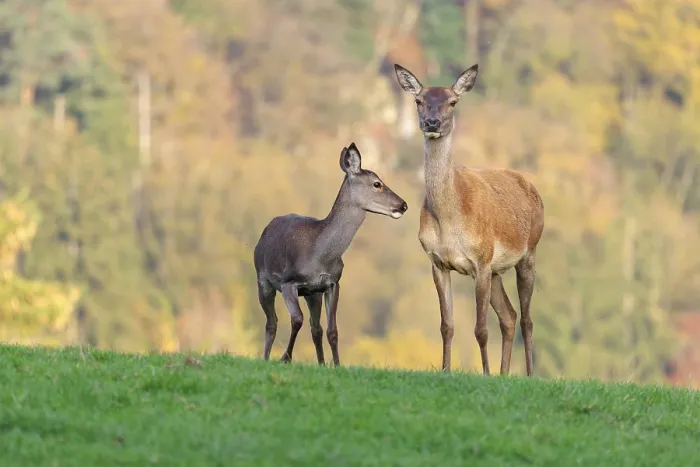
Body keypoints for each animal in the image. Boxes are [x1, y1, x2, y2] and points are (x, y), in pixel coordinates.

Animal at [253, 142, 408, 366]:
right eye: (377, 184)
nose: (403, 205)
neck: (320, 255)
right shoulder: (288, 281)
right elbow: (296, 319)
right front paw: (285, 358)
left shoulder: (332, 283)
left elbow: (332, 330)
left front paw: (335, 364)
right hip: (262, 279)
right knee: (271, 323)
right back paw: (265, 357)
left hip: (312, 294)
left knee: (315, 328)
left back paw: (320, 362)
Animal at [393, 63, 544, 377]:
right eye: (419, 100)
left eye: (452, 101)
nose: (432, 122)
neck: (449, 221)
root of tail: (532, 188)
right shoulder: (438, 262)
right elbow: (446, 326)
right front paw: (445, 370)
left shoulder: (481, 261)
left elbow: (480, 329)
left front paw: (485, 373)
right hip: (497, 271)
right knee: (509, 315)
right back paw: (504, 373)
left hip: (529, 252)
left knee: (526, 319)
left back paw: (529, 375)